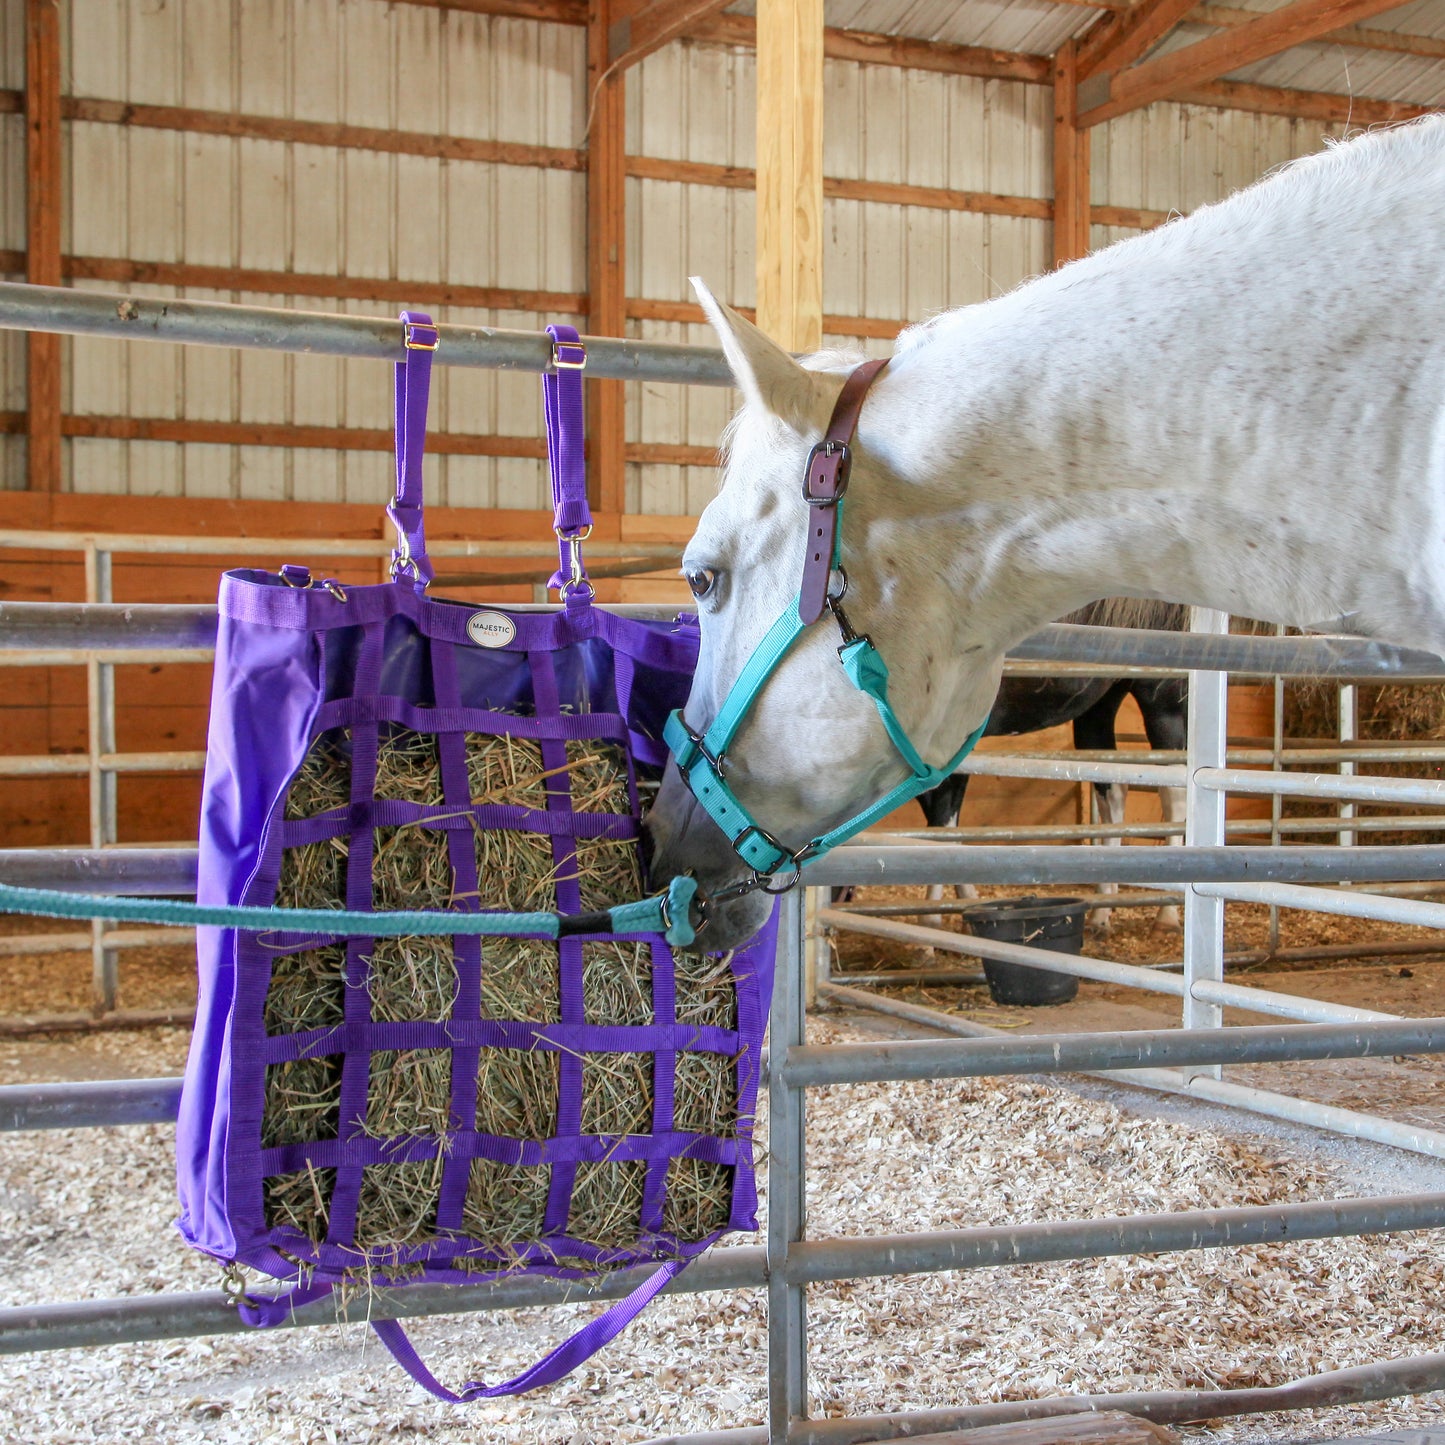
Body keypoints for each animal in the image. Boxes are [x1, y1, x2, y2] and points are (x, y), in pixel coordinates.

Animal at [919, 604, 1190, 930]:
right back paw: (1102, 910)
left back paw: (1167, 912)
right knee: (1113, 790)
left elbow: (941, 816)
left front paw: (932, 919)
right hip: (1100, 703)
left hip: (1163, 702)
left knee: (1173, 795)